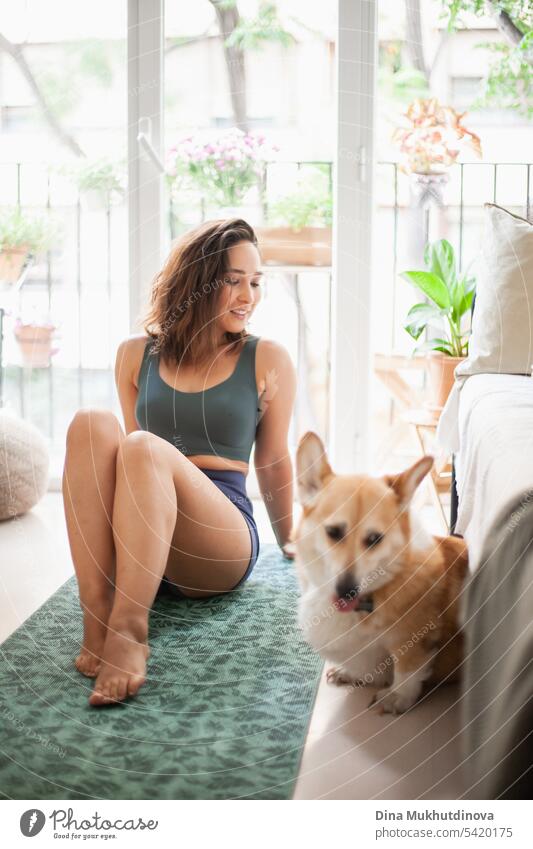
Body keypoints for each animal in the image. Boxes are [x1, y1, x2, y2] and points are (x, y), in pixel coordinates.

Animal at [290, 430, 466, 716]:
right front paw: (350, 673)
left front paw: (396, 698)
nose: (346, 591)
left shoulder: (413, 640)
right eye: (333, 532)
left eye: (374, 539)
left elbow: (406, 671)